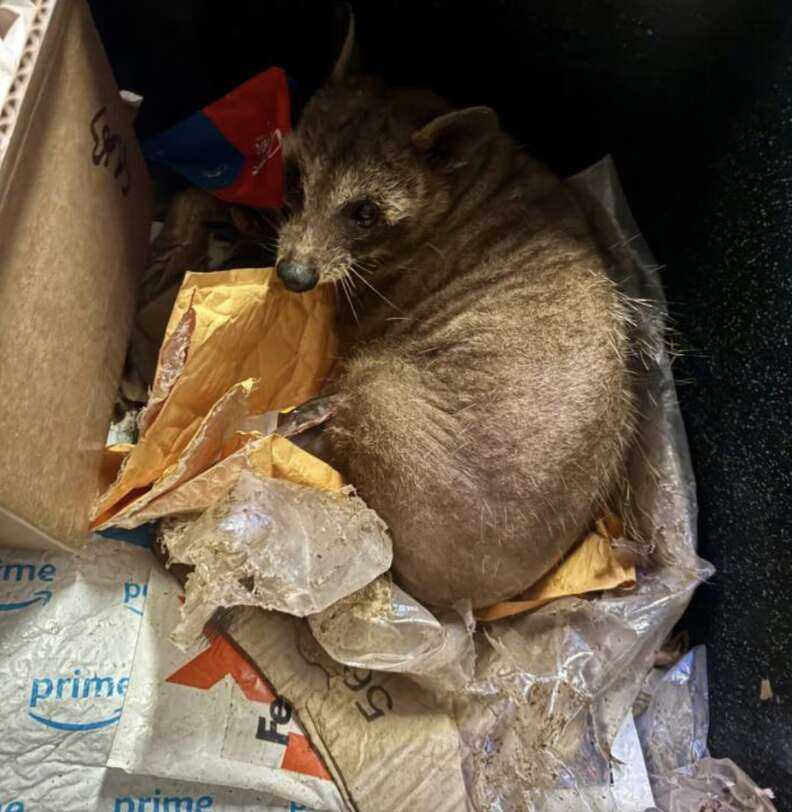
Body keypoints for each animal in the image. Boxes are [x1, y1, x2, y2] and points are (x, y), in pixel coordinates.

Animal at [276, 17, 636, 608]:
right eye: (295, 178)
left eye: (364, 213)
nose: (293, 276)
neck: (467, 179)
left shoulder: (378, 293)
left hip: (395, 410)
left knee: (369, 388)